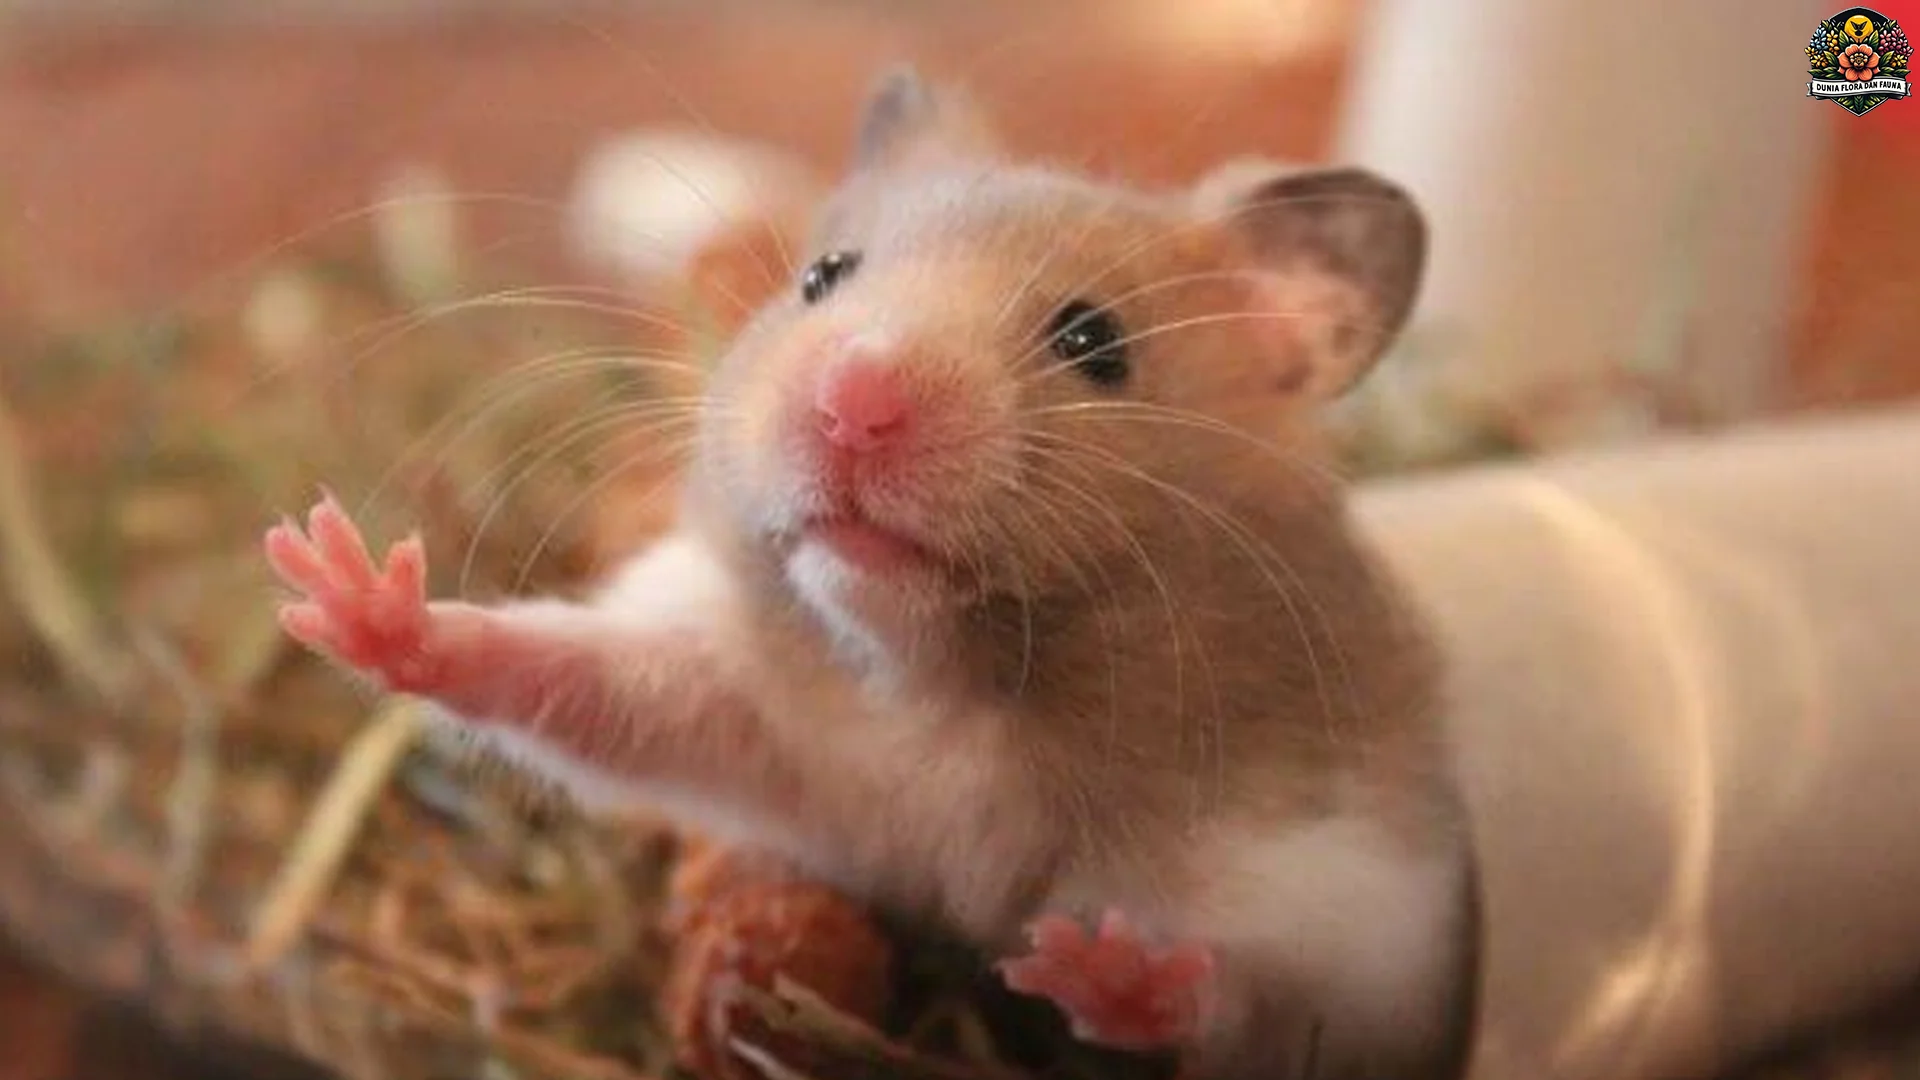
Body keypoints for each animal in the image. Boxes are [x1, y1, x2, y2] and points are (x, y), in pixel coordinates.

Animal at [263, 67, 1481, 1080]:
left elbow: (1252, 988)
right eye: (823, 276)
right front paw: (346, 589)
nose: (854, 401)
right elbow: (565, 675)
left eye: (1093, 342)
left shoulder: (1350, 894)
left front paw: (1094, 965)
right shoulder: (736, 699)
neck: (937, 677)